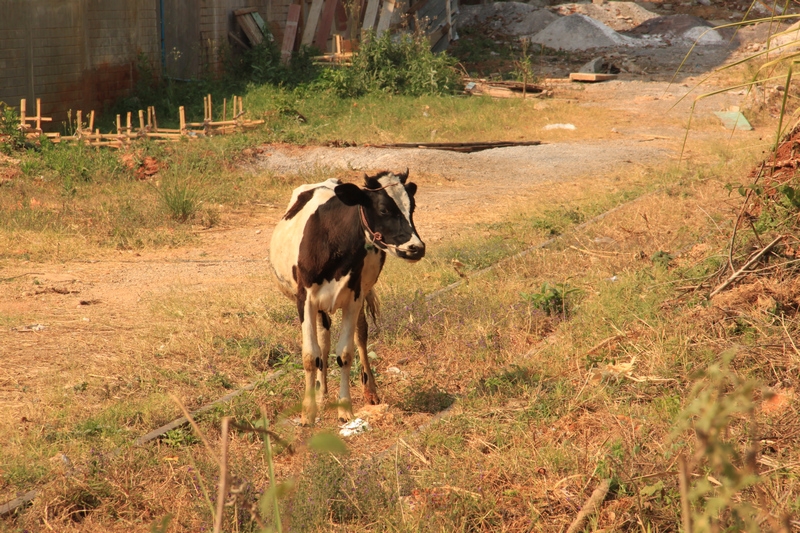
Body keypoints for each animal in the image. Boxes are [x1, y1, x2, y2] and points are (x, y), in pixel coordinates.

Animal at [270, 169, 424, 424]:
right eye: (383, 209)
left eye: (411, 208)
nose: (417, 248)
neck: (333, 240)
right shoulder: (305, 300)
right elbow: (310, 355)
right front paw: (308, 411)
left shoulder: (353, 297)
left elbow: (345, 353)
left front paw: (344, 408)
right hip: (319, 305)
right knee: (323, 341)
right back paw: (321, 393)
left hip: (362, 292)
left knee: (360, 335)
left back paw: (369, 391)